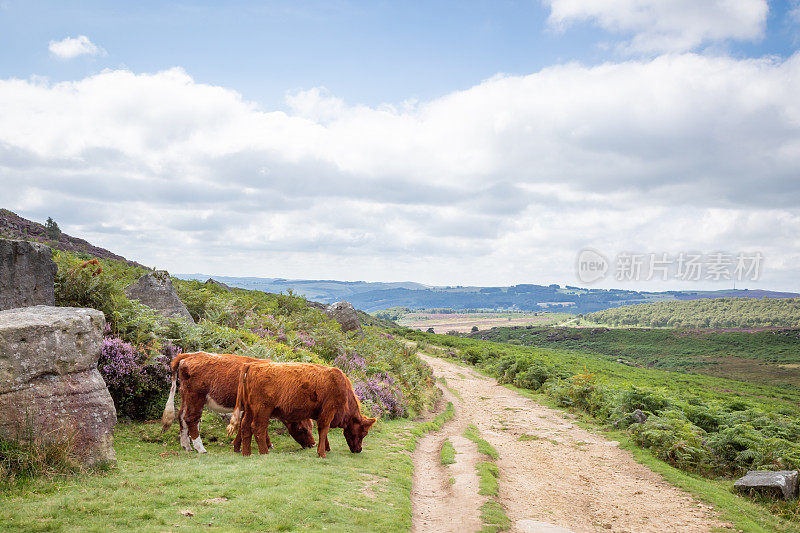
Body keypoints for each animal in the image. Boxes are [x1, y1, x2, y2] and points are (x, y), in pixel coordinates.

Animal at [161, 352, 314, 450]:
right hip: (196, 396)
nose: (312, 444)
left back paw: (186, 445)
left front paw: (267, 444)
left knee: (181, 416)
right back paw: (200, 448)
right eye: (303, 429)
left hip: (186, 396)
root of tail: (190, 355)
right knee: (191, 418)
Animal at [225, 360, 376, 456]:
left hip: (250, 409)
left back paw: (247, 453)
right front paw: (322, 453)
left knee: (245, 427)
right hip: (262, 410)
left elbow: (323, 432)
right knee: (257, 428)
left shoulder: (321, 414)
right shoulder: (328, 411)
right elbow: (324, 430)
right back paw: (264, 453)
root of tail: (251, 365)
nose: (359, 449)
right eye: (364, 432)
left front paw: (326, 448)